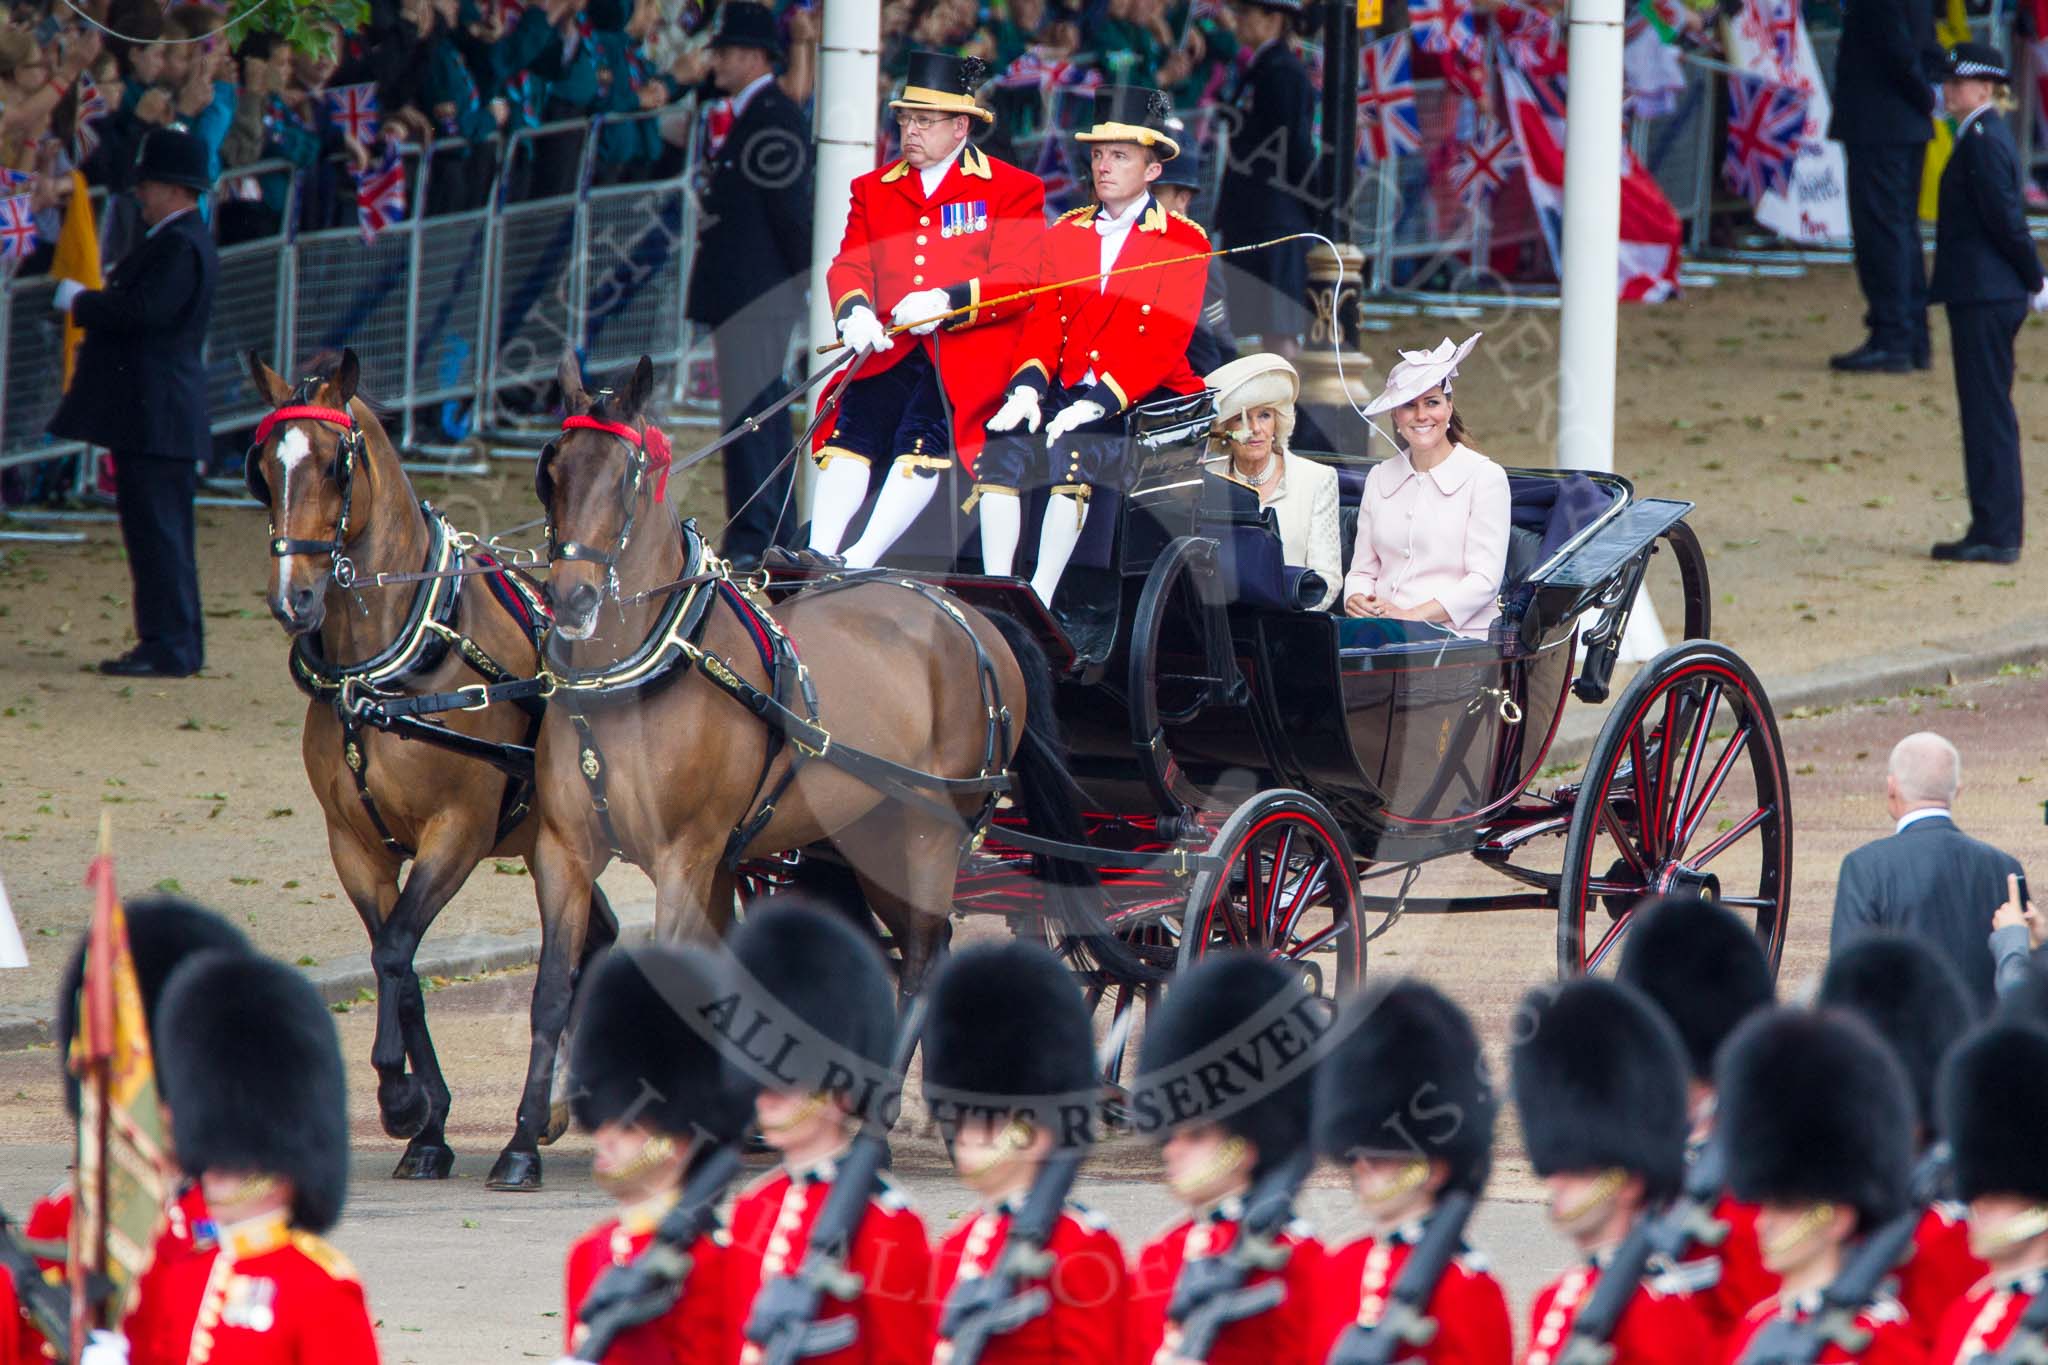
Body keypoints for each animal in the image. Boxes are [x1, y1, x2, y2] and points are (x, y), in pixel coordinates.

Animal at [245, 349, 614, 1186]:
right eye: (263, 469)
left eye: (335, 464)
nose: (295, 599)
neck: (385, 669)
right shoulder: (355, 845)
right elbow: (401, 964)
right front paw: (428, 1121)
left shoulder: (460, 831)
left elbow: (394, 950)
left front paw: (401, 1099)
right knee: (596, 943)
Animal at [524, 351, 1105, 1162]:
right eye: (552, 471)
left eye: (627, 476)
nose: (573, 600)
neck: (643, 668)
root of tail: (972, 614)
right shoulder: (568, 850)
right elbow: (556, 987)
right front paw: (524, 1141)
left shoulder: (685, 854)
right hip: (875, 836)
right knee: (925, 947)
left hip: (927, 835)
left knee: (922, 961)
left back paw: (876, 1124)